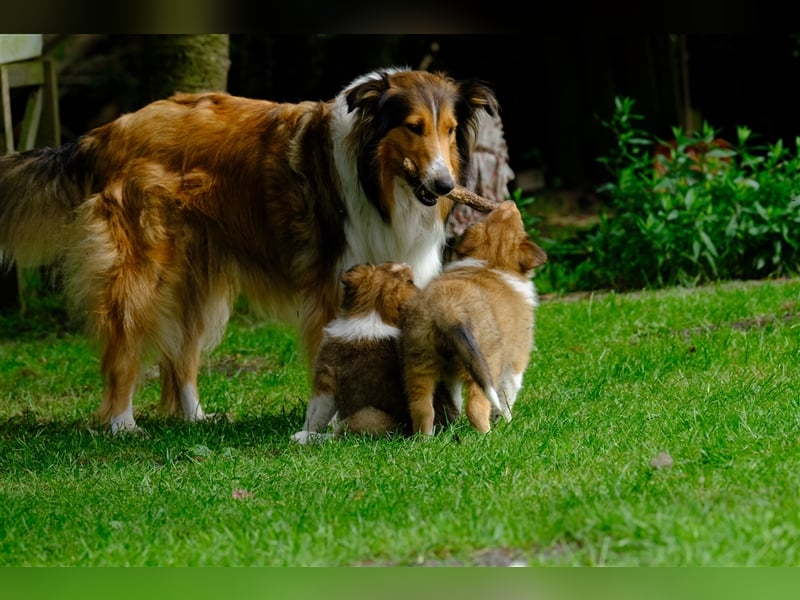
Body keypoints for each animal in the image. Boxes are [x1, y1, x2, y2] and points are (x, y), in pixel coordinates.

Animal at [292, 260, 418, 442]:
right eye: (387, 264)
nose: (407, 263)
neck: (373, 314)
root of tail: (407, 435)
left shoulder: (325, 381)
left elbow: (314, 415)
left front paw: (306, 430)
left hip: (364, 416)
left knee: (338, 436)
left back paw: (303, 437)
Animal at [400, 202, 552, 436]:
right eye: (520, 220)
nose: (509, 203)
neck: (492, 260)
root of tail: (448, 311)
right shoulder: (516, 360)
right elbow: (507, 396)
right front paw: (506, 420)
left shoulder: (450, 375)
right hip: (484, 364)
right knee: (476, 405)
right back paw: (488, 436)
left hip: (419, 360)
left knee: (421, 407)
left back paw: (425, 438)